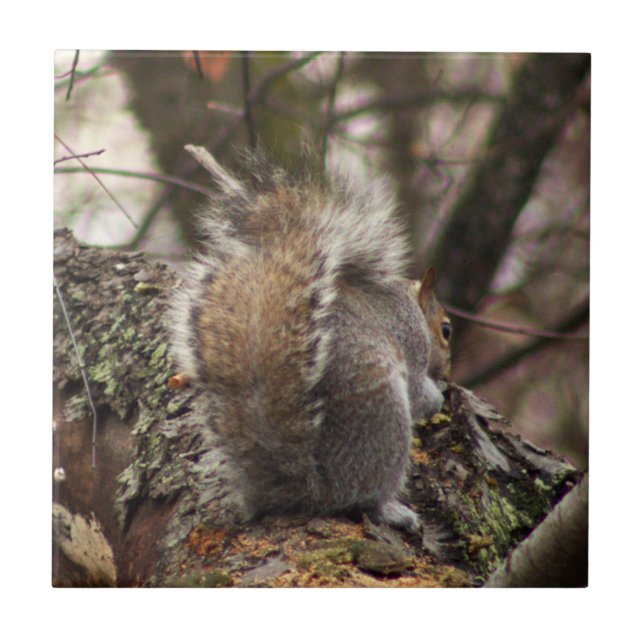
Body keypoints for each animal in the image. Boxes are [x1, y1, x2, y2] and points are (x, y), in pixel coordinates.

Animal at [169, 147, 452, 532]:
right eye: (446, 330)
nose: (448, 374)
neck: (409, 305)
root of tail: (311, 490)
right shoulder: (409, 337)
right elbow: (418, 390)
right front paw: (437, 397)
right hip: (383, 417)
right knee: (363, 496)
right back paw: (391, 509)